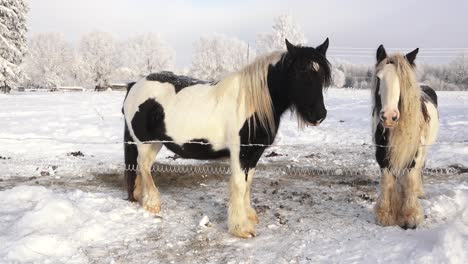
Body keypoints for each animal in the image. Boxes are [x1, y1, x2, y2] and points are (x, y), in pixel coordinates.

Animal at [122, 38, 330, 237]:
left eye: (322, 76)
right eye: (299, 72)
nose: (319, 115)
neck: (251, 102)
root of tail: (134, 85)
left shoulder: (254, 153)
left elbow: (248, 183)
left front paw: (249, 216)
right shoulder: (240, 152)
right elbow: (239, 184)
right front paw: (241, 228)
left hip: (154, 143)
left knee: (142, 168)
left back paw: (141, 197)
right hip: (145, 143)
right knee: (144, 167)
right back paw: (152, 203)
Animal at [372, 45, 440, 229]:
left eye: (403, 81)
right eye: (379, 78)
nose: (389, 116)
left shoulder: (414, 154)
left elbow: (409, 179)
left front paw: (410, 216)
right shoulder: (382, 152)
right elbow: (387, 181)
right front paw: (385, 215)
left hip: (424, 152)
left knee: (419, 171)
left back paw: (419, 192)